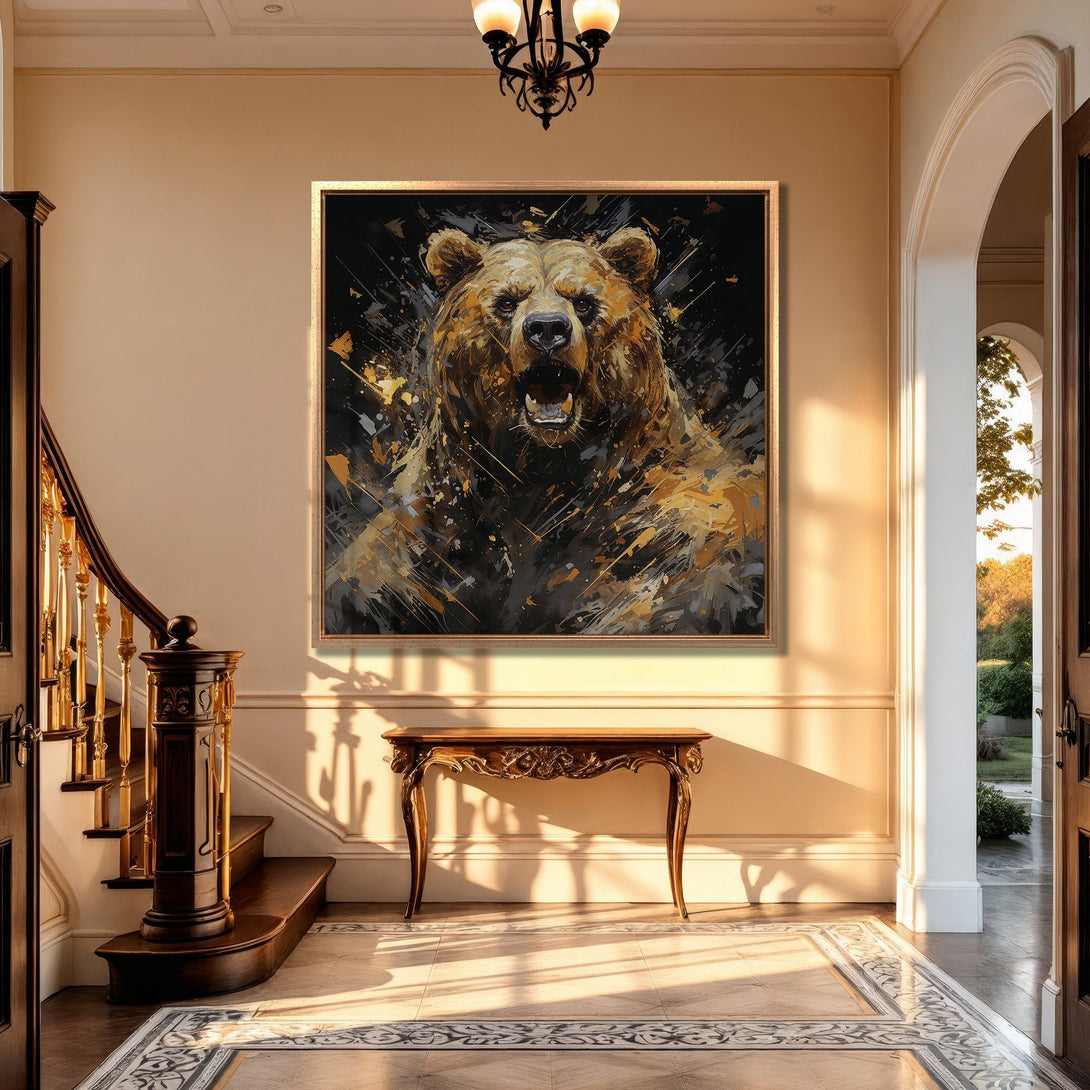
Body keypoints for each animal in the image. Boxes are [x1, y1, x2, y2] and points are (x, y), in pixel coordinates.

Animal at [327, 225, 766, 636]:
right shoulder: (435, 522)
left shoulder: (664, 524)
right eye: (507, 301)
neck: (544, 466)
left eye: (584, 301)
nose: (548, 328)